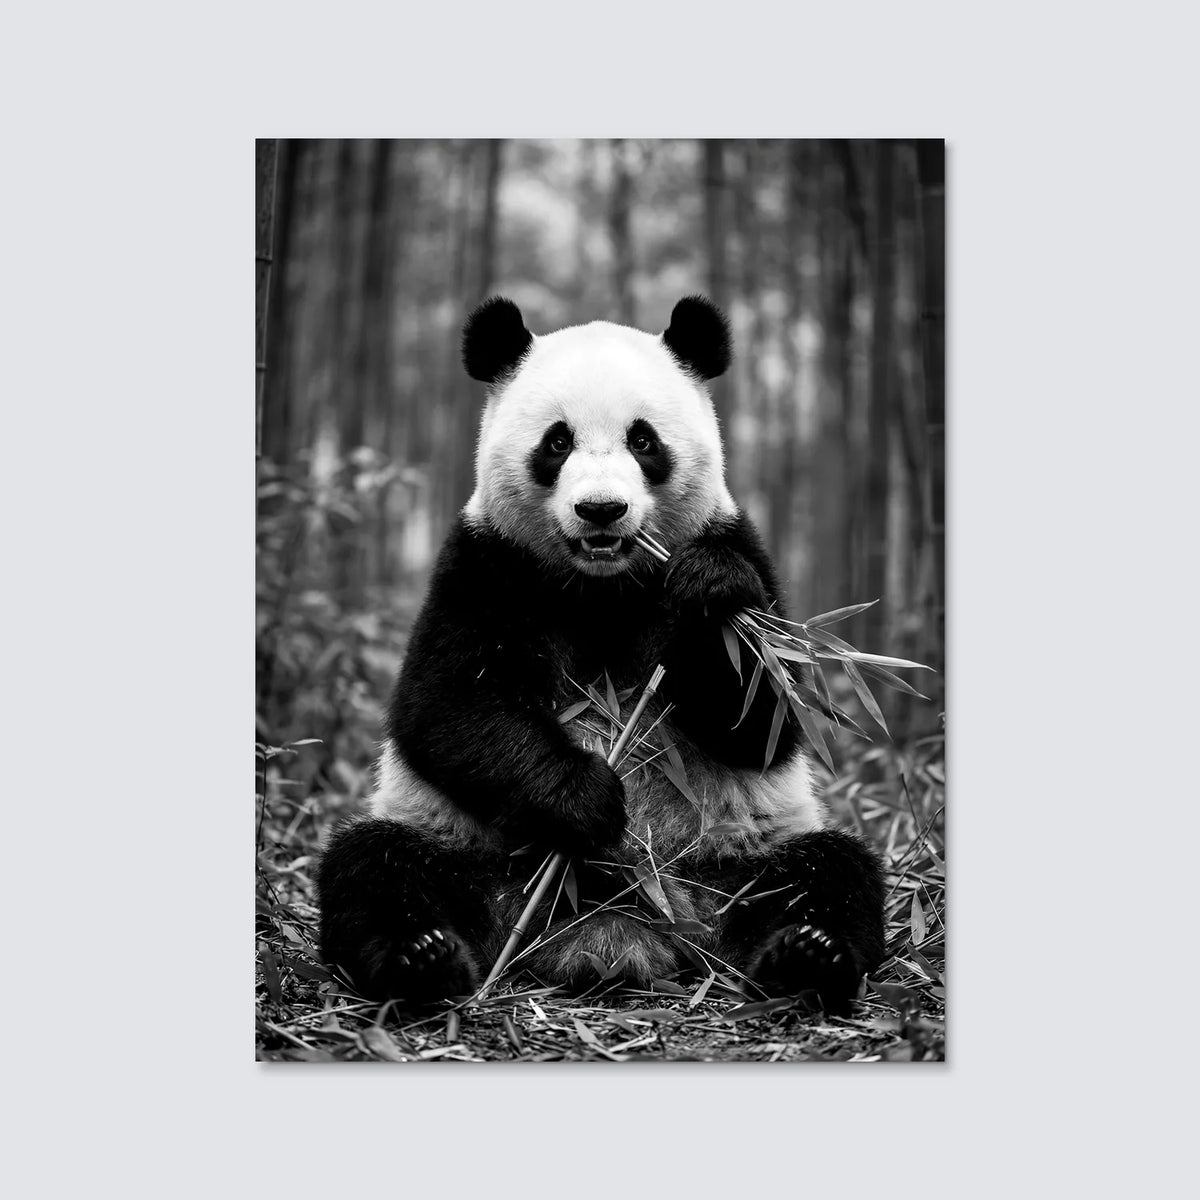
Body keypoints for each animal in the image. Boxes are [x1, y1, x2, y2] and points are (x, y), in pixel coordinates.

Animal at [316, 295, 885, 1012]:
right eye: (556, 442)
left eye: (644, 441)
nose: (601, 510)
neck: (601, 587)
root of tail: (612, 935)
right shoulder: (486, 564)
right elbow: (447, 702)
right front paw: (585, 797)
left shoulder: (738, 546)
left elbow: (763, 718)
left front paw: (710, 591)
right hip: (472, 853)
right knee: (375, 866)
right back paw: (421, 959)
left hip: (730, 863)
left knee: (828, 871)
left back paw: (808, 955)